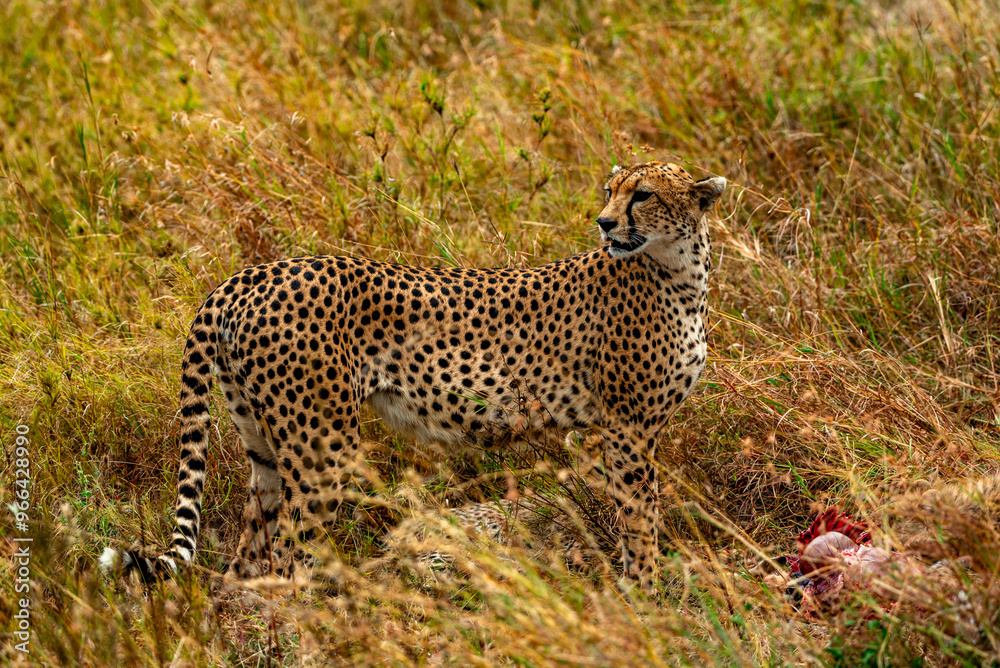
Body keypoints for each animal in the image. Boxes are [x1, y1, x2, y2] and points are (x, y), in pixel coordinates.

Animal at [100, 161, 726, 595]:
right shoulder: (628, 428)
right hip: (323, 445)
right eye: (611, 191)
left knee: (249, 556)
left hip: (264, 444)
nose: (604, 222)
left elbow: (636, 513)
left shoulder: (627, 428)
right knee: (296, 554)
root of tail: (251, 272)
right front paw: (644, 595)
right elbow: (640, 516)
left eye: (641, 194)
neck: (679, 271)